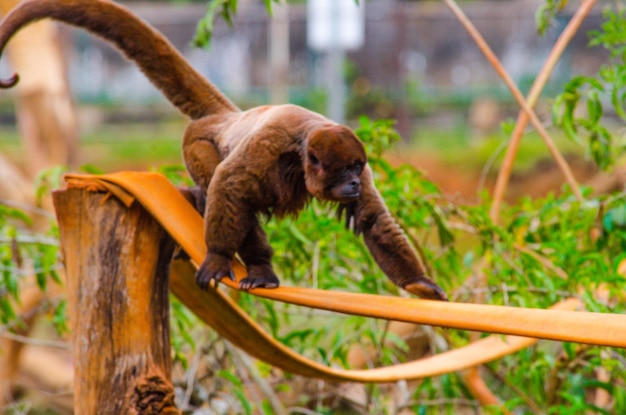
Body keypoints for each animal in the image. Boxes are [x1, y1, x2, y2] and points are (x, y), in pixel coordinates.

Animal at [2, 0, 446, 300]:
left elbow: (373, 220)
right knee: (223, 185)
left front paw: (419, 283)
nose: (352, 184)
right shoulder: (270, 146)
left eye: (357, 168)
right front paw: (218, 256)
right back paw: (253, 262)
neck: (303, 151)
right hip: (196, 142)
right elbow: (232, 186)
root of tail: (227, 116)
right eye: (345, 170)